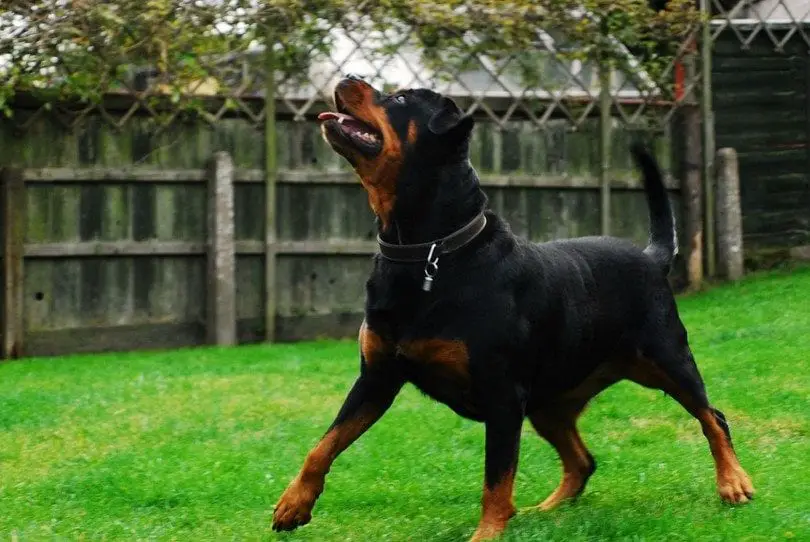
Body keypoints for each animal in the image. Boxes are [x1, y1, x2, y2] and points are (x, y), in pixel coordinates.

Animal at [270, 77, 752, 542]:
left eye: (400, 98)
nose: (347, 79)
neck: (429, 252)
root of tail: (652, 257)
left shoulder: (502, 395)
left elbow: (496, 478)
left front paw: (487, 534)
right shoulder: (376, 379)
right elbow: (323, 444)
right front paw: (293, 506)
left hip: (667, 358)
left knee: (712, 416)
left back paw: (733, 483)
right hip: (550, 403)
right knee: (583, 461)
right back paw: (546, 510)